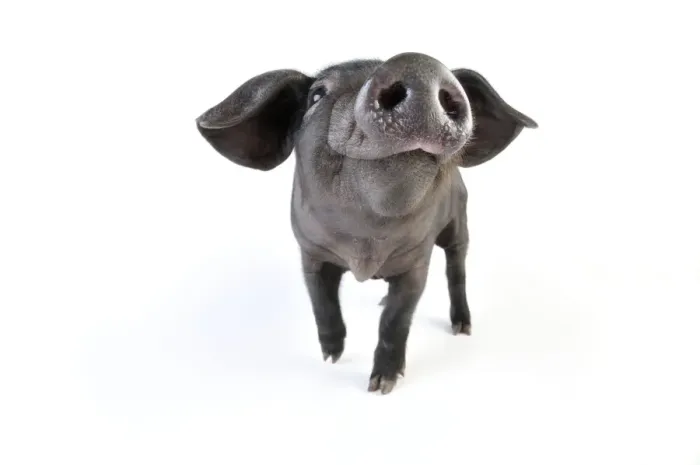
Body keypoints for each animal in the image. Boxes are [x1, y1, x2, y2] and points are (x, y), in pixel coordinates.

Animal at [195, 52, 538, 394]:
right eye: (316, 95)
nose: (418, 65)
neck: (366, 245)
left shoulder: (417, 260)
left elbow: (395, 319)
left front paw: (381, 385)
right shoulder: (310, 251)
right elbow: (321, 302)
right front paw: (331, 357)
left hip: (459, 220)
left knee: (457, 268)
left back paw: (462, 327)